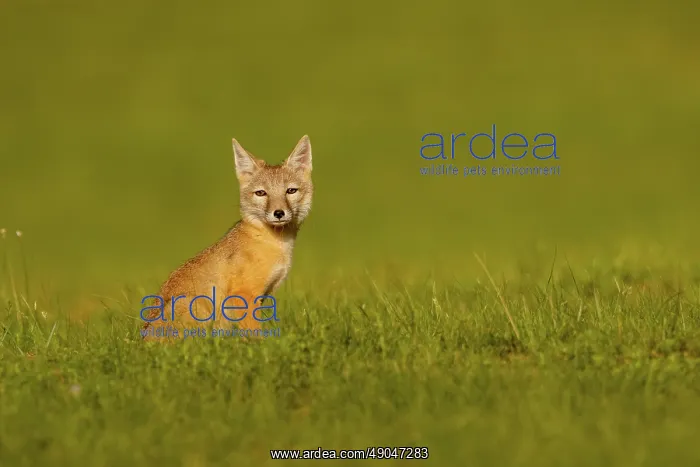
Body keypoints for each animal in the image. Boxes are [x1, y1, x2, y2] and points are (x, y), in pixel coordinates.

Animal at [141, 135, 313, 342]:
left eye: (291, 191)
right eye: (261, 193)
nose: (278, 213)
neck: (277, 244)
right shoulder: (243, 295)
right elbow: (256, 335)